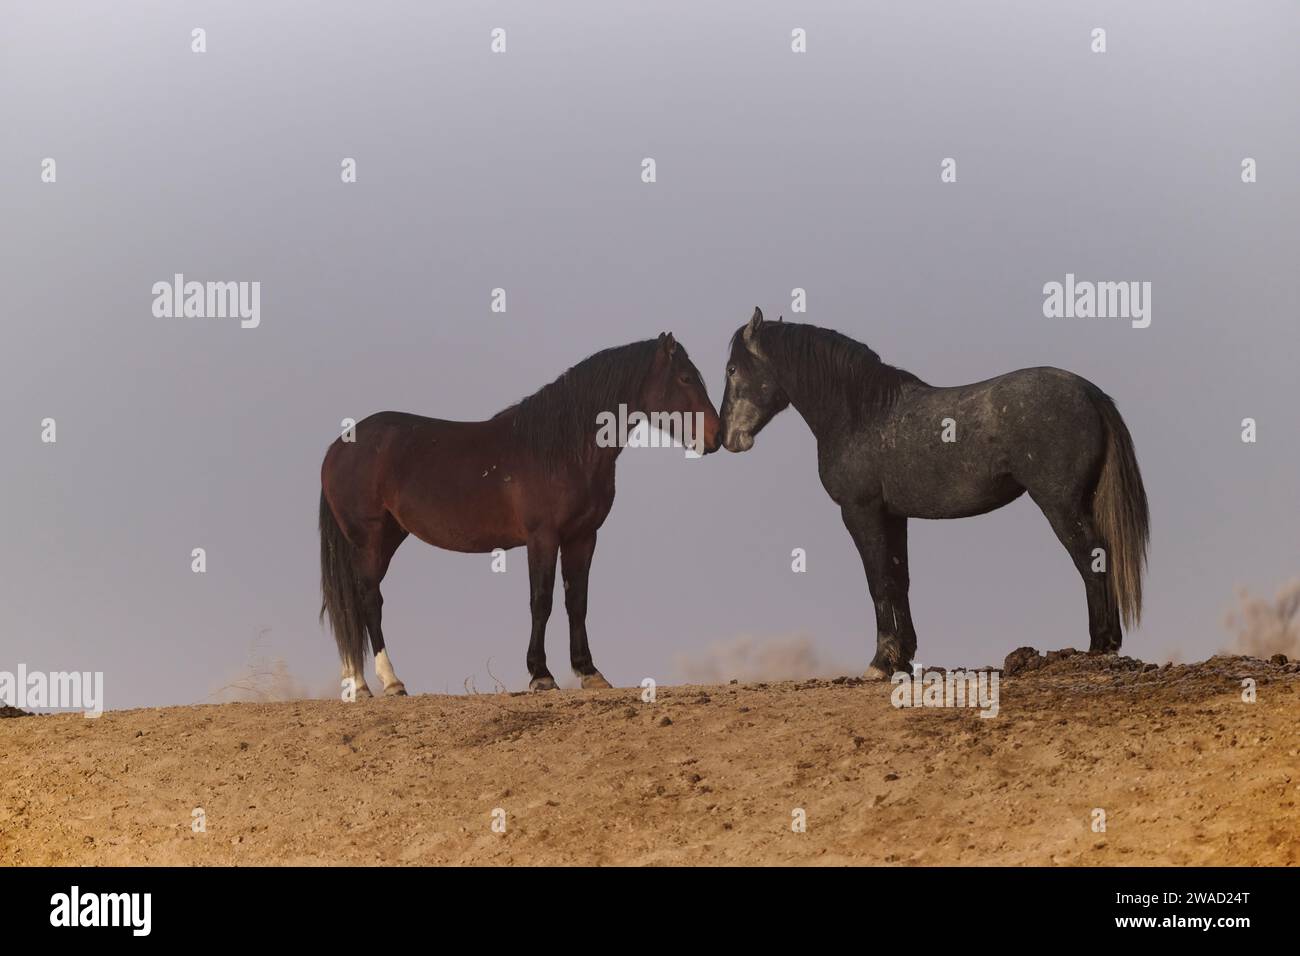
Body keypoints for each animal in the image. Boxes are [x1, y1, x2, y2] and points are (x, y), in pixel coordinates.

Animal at [317, 335, 722, 697]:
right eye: (685, 378)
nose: (716, 436)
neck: (562, 449)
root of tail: (338, 447)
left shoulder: (583, 537)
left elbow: (577, 602)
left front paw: (589, 672)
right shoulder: (542, 537)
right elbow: (541, 601)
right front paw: (541, 675)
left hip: (387, 537)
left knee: (354, 602)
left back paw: (359, 685)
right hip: (369, 539)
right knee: (369, 600)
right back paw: (391, 682)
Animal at [717, 310, 1154, 676]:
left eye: (732, 368)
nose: (727, 438)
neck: (861, 413)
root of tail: (1089, 392)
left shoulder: (861, 511)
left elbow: (878, 581)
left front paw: (880, 663)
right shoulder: (894, 515)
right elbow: (900, 579)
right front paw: (903, 658)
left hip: (1060, 503)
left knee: (1091, 557)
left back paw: (1100, 645)